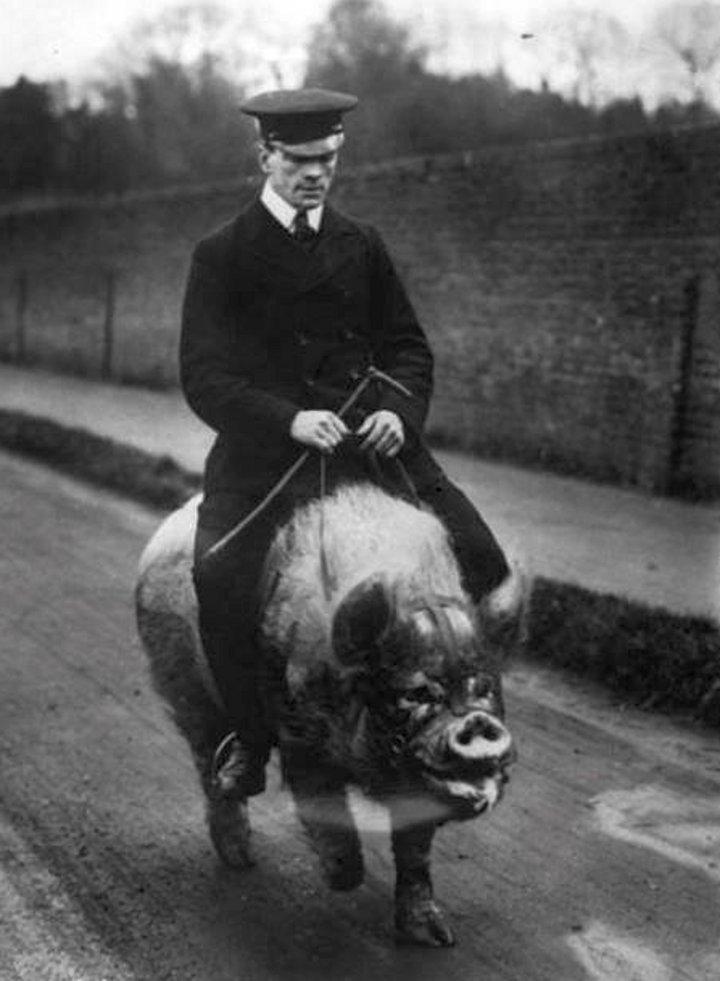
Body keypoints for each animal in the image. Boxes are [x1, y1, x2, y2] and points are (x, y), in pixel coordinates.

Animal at [135, 480, 525, 947]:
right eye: (415, 693)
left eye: (483, 687)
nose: (477, 723)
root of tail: (170, 524)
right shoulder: (297, 731)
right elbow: (323, 806)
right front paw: (343, 879)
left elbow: (415, 846)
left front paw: (435, 938)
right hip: (183, 681)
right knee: (208, 761)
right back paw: (240, 857)